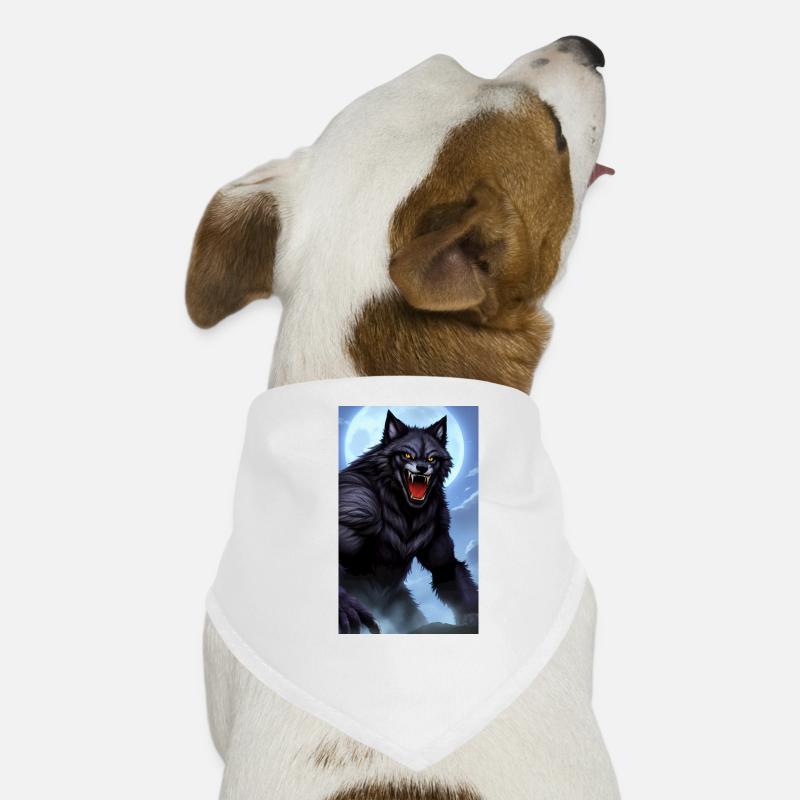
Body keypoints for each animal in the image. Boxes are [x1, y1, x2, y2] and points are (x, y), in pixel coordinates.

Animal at [339, 410, 478, 634]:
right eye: (407, 455)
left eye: (431, 457)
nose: (422, 467)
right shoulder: (358, 504)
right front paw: (347, 608)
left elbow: (446, 569)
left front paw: (472, 614)